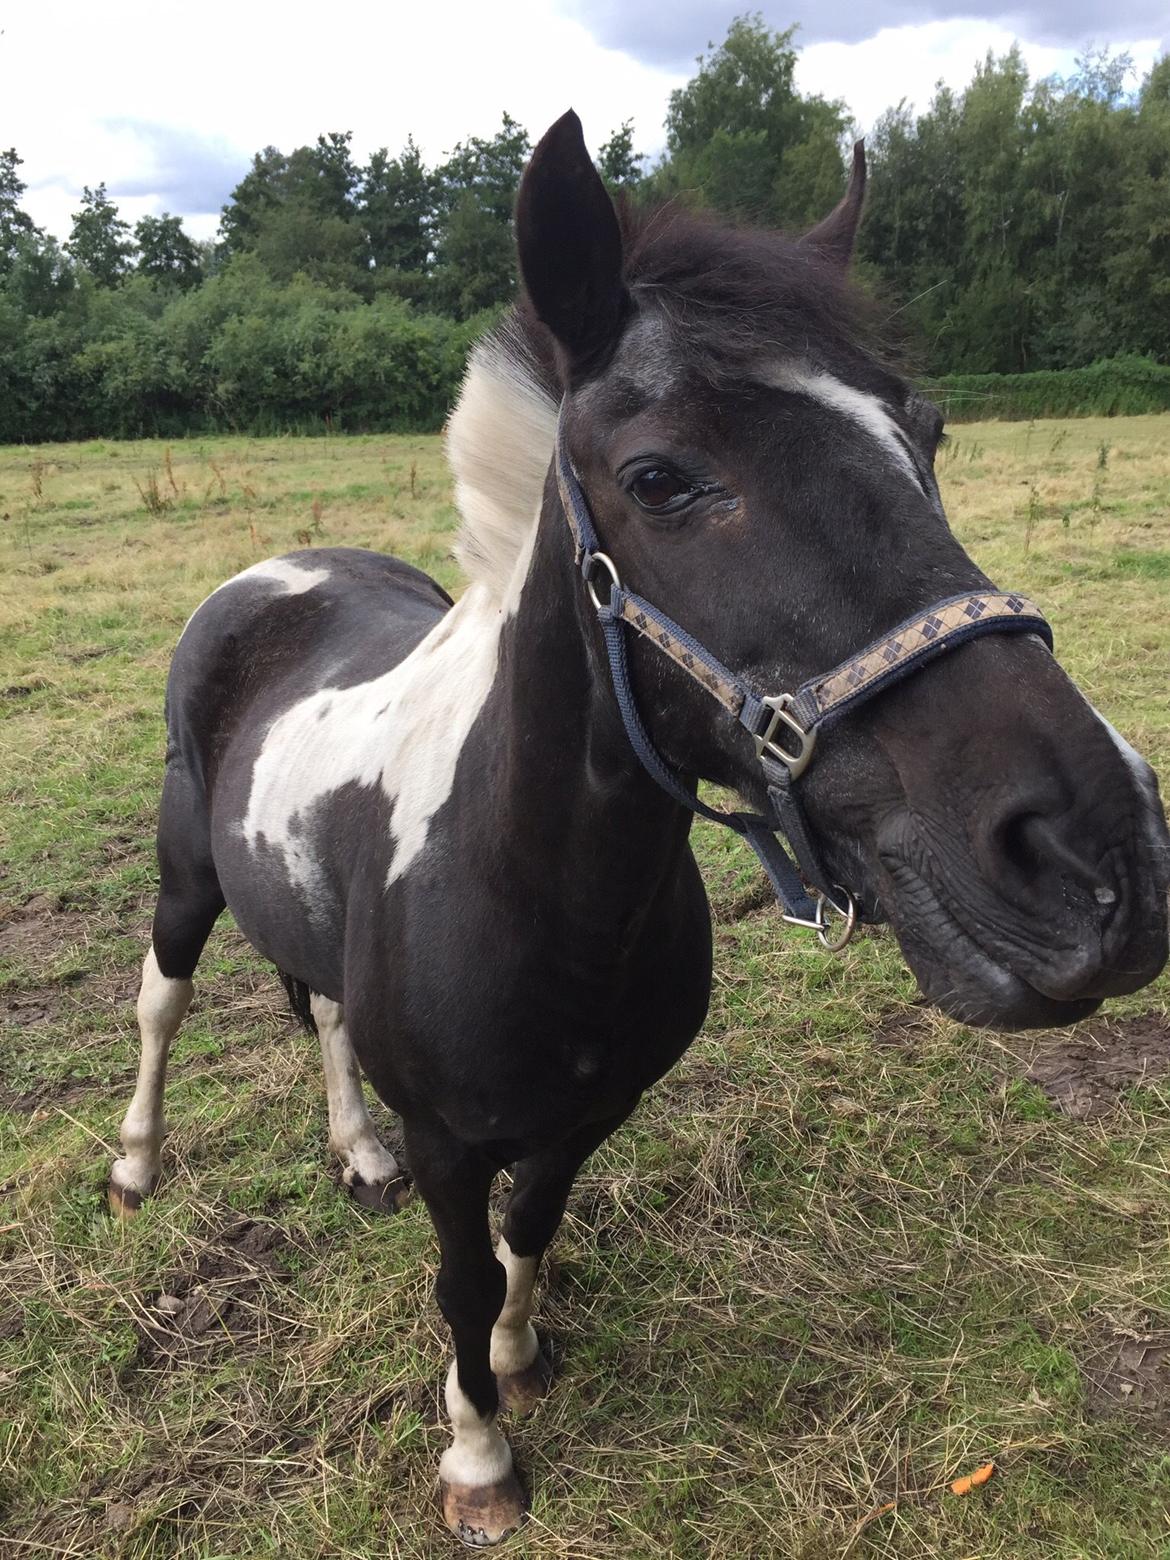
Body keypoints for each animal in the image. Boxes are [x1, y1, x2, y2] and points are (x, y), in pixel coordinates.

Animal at [105, 113, 1166, 1547]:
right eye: (660, 479)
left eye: (927, 434)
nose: (1098, 860)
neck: (531, 887)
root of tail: (273, 577)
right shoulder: (453, 1141)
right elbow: (455, 1279)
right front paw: (478, 1463)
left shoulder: (585, 1114)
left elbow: (530, 1235)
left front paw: (515, 1358)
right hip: (184, 876)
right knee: (161, 1003)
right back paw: (134, 1168)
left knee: (318, 1010)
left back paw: (354, 1156)